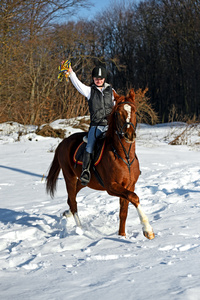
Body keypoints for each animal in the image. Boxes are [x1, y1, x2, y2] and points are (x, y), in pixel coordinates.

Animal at [46, 89, 155, 239]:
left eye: (134, 111)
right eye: (117, 113)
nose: (129, 135)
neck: (124, 156)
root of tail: (63, 142)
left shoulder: (129, 185)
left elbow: (124, 212)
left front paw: (122, 235)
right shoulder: (111, 187)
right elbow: (135, 197)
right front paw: (147, 229)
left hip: (84, 181)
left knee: (71, 198)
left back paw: (67, 214)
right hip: (69, 177)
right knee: (73, 202)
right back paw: (80, 230)